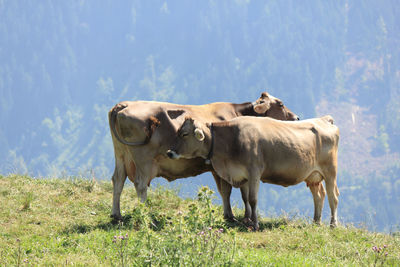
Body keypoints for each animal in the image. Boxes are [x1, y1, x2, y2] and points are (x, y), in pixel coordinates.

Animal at [108, 93, 298, 221]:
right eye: (281, 104)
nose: (297, 117)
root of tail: (122, 105)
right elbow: (235, 191)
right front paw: (237, 217)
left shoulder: (219, 168)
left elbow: (226, 191)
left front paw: (231, 215)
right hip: (143, 159)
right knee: (140, 184)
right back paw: (146, 215)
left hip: (121, 154)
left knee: (118, 179)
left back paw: (116, 214)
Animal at [167, 115, 340, 230]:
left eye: (184, 134)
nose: (169, 152)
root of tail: (324, 119)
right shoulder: (236, 174)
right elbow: (235, 196)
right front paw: (243, 220)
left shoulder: (254, 172)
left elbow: (252, 199)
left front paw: (255, 224)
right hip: (313, 175)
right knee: (319, 195)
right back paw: (316, 222)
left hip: (330, 171)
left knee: (333, 197)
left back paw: (333, 224)